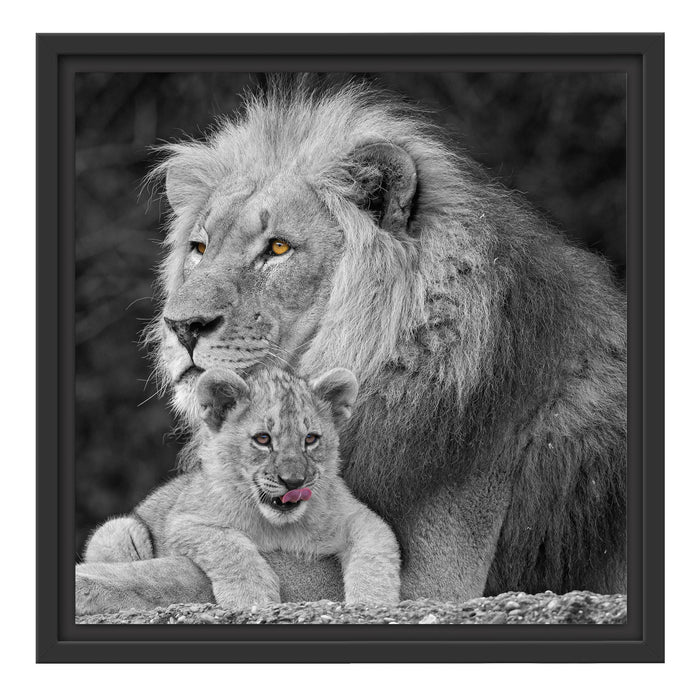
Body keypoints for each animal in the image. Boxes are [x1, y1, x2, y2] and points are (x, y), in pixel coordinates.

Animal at [77, 366, 400, 614]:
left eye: (310, 439)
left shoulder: (361, 518)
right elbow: (229, 544)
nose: (293, 482)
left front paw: (373, 603)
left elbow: (375, 558)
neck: (280, 527)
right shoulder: (184, 521)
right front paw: (252, 596)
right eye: (262, 439)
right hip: (119, 530)